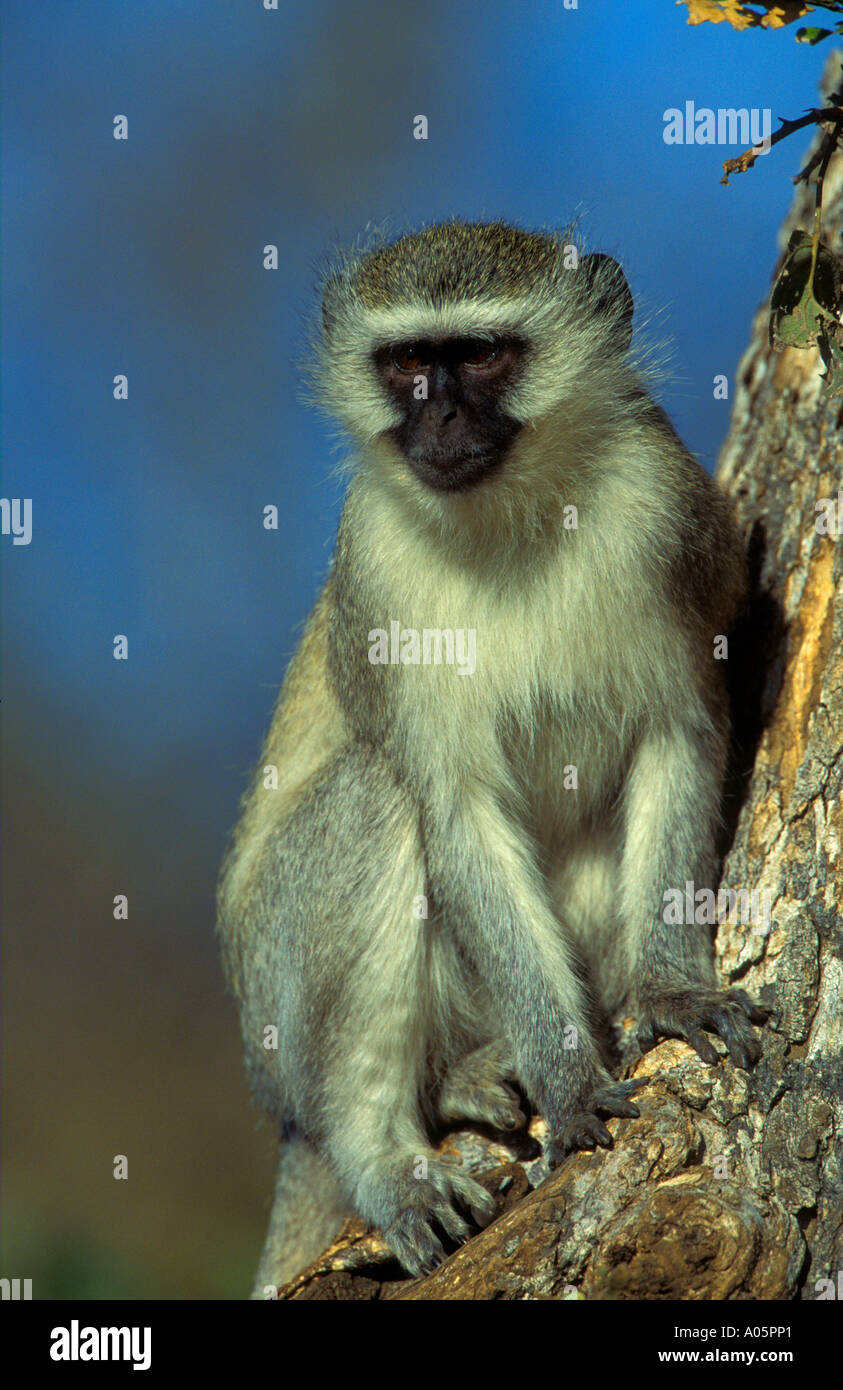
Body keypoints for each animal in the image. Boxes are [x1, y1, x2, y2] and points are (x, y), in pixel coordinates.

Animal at [217, 219, 767, 1289]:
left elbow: (675, 734)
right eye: (404, 365)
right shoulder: (374, 560)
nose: (435, 418)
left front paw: (670, 986)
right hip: (274, 1008)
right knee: (377, 797)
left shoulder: (666, 510)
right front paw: (567, 1074)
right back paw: (392, 1150)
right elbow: (452, 807)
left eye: (476, 356)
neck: (509, 512)